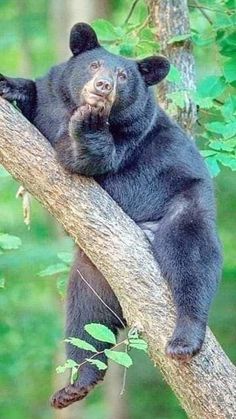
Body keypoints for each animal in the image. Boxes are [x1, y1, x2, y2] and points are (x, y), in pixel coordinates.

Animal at [0, 23, 222, 410]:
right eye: (94, 65)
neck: (70, 110)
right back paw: (76, 384)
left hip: (185, 206)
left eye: (123, 75)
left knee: (192, 260)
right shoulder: (50, 103)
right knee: (86, 318)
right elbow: (35, 97)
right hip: (93, 271)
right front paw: (8, 85)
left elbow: (88, 159)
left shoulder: (131, 136)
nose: (103, 86)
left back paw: (185, 338)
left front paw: (88, 127)